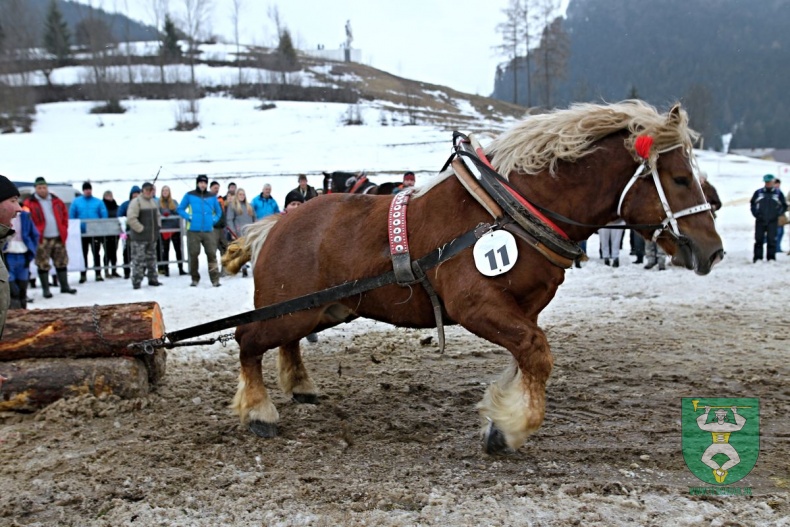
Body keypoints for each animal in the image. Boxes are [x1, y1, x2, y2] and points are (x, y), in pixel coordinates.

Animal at [221, 101, 724, 456]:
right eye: (680, 179)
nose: (712, 249)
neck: (511, 210)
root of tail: (276, 224)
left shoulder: (523, 308)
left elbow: (527, 355)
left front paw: (501, 414)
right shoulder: (476, 305)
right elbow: (536, 353)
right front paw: (511, 429)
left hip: (320, 309)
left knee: (283, 343)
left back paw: (300, 385)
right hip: (290, 310)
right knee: (249, 339)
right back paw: (260, 411)